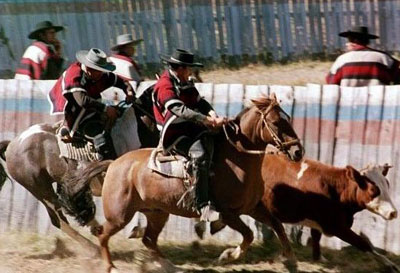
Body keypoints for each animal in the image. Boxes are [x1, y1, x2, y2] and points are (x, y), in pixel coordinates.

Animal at [78, 94, 304, 272]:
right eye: (275, 122)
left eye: (288, 118)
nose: (297, 151)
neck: (237, 158)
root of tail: (114, 163)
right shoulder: (228, 213)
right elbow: (248, 235)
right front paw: (228, 256)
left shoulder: (253, 207)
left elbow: (277, 225)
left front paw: (291, 261)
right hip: (120, 215)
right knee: (103, 236)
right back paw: (110, 267)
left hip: (157, 213)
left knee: (148, 239)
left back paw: (171, 267)